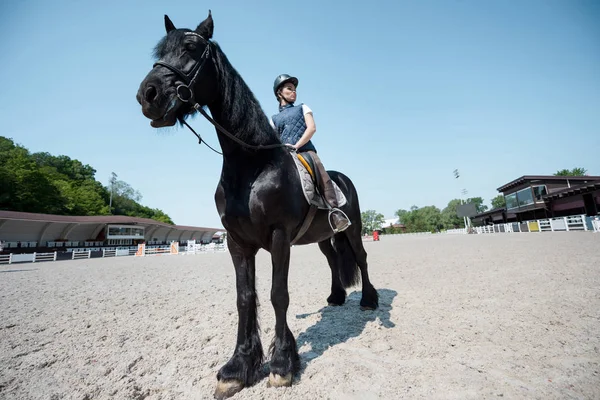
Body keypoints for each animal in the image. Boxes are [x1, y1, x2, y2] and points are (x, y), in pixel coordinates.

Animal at [138, 10, 378, 398]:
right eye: (160, 51)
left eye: (190, 47)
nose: (148, 94)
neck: (252, 166)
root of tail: (340, 177)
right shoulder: (238, 243)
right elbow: (245, 298)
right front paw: (239, 367)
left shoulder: (279, 237)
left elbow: (278, 294)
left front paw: (281, 364)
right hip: (323, 238)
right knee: (332, 260)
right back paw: (336, 296)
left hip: (353, 228)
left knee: (361, 256)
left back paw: (369, 300)